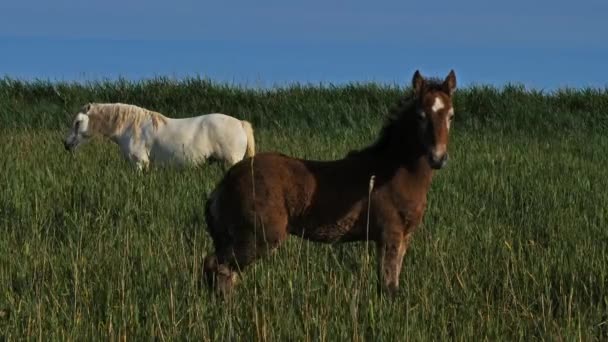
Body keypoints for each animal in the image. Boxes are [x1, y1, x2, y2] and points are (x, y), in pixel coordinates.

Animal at [204, 69, 456, 296]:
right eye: (420, 115)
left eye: (451, 115)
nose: (438, 158)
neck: (393, 172)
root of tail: (225, 182)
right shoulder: (389, 234)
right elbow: (388, 287)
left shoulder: (404, 237)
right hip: (260, 236)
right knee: (216, 265)